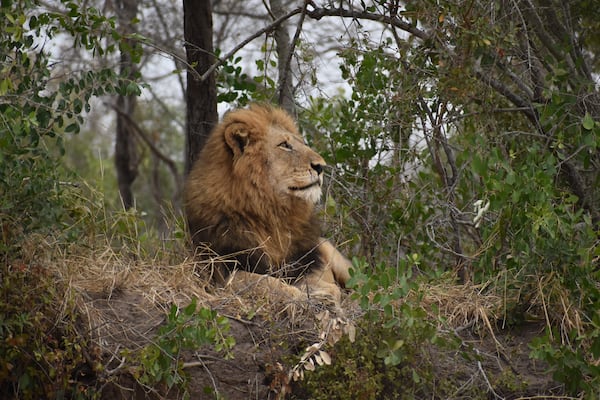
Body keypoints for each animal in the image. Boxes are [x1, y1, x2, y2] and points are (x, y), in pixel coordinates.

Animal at [183, 103, 352, 304]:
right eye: (284, 145)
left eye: (302, 144)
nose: (321, 166)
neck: (272, 213)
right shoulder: (222, 268)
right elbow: (259, 280)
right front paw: (304, 295)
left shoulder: (305, 263)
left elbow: (320, 282)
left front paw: (324, 294)